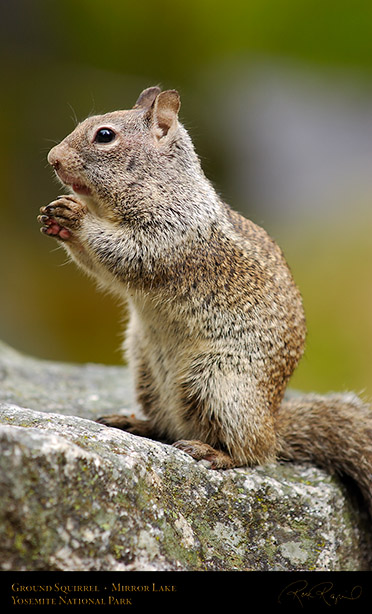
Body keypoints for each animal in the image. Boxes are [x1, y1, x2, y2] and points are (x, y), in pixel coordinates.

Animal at [38, 86, 372, 520]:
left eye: (105, 135)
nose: (53, 158)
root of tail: (273, 420)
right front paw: (54, 218)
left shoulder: (171, 232)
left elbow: (125, 254)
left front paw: (74, 217)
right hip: (148, 374)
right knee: (170, 427)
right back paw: (133, 423)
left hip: (219, 384)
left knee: (256, 452)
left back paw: (213, 453)